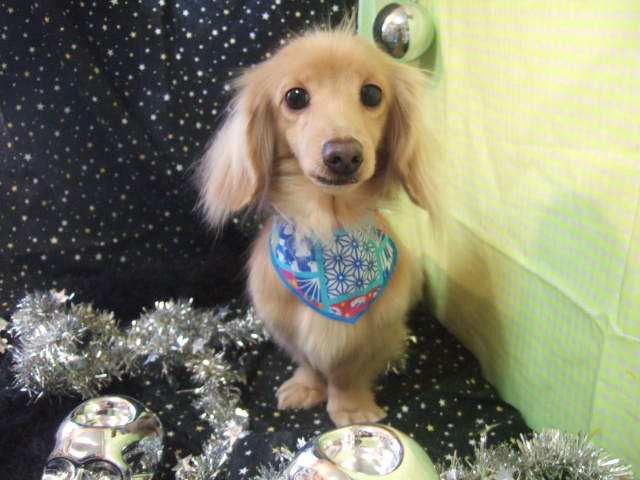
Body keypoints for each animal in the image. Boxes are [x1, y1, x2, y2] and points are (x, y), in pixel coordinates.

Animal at [196, 20, 441, 426]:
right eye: (295, 97)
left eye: (371, 93)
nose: (343, 155)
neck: (329, 232)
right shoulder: (285, 326)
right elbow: (309, 362)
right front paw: (306, 389)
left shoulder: (372, 332)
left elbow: (345, 374)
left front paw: (352, 410)